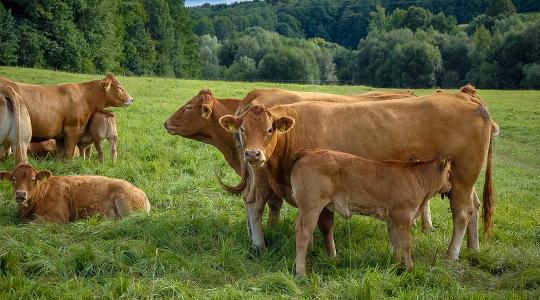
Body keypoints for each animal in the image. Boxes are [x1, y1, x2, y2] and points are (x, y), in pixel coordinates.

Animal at [0, 74, 133, 158]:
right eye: (120, 87)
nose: (132, 99)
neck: (84, 98)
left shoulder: (60, 136)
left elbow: (61, 155)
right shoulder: (71, 129)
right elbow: (69, 153)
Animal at [219, 85, 498, 260]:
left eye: (270, 130)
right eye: (243, 130)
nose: (252, 154)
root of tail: (467, 99)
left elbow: (320, 222)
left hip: (463, 177)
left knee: (462, 214)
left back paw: (452, 255)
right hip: (464, 181)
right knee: (473, 208)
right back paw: (473, 249)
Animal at [288, 149, 454, 276]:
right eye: (449, 172)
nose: (450, 186)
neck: (418, 179)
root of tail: (308, 152)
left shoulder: (392, 220)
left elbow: (395, 242)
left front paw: (397, 264)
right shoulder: (403, 216)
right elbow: (406, 243)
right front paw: (410, 268)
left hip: (304, 208)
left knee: (297, 228)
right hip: (312, 206)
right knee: (304, 233)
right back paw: (301, 272)